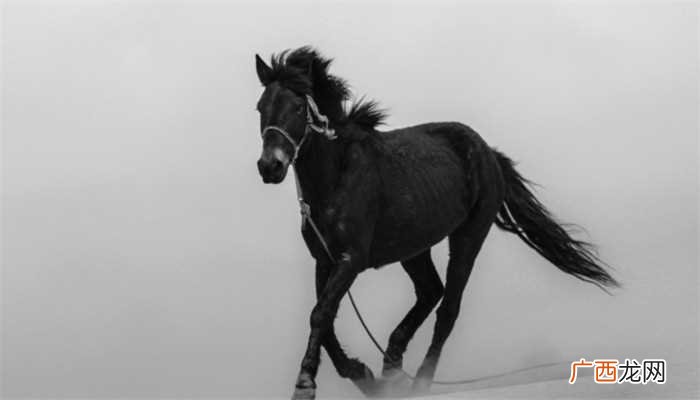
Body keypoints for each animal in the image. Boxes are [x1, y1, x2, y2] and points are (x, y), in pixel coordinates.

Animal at [253, 47, 618, 400]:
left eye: (298, 107)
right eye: (260, 108)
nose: (270, 166)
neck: (338, 175)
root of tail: (489, 153)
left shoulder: (350, 259)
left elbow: (321, 313)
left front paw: (305, 384)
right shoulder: (324, 259)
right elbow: (323, 318)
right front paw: (362, 375)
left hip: (468, 237)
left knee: (448, 309)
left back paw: (419, 383)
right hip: (414, 246)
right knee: (430, 291)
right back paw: (391, 370)